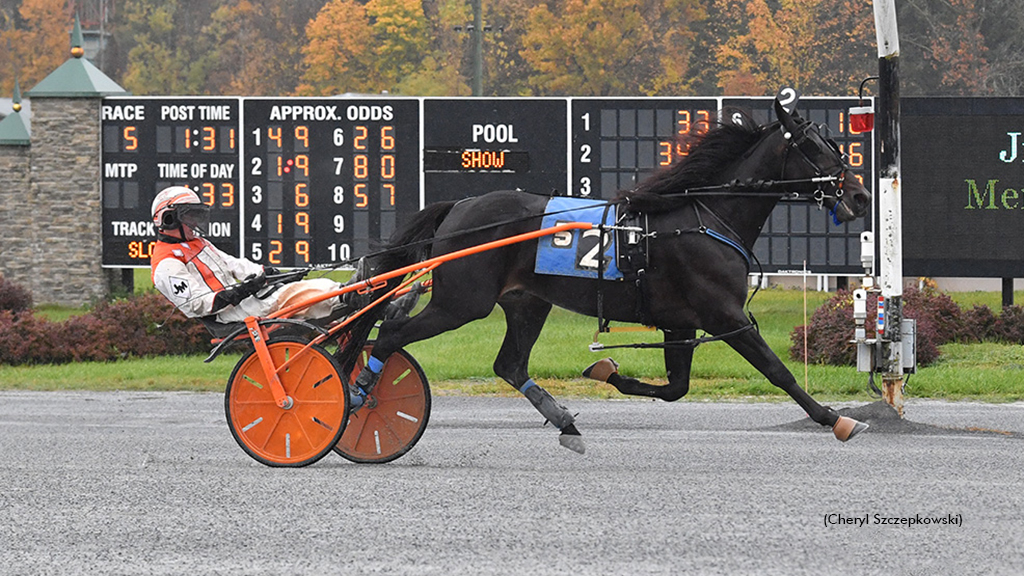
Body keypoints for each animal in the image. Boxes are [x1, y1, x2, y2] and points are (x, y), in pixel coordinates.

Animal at [346, 91, 872, 450]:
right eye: (813, 146)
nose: (861, 194)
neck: (703, 215)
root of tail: (459, 205)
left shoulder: (680, 322)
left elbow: (677, 388)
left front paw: (605, 371)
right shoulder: (726, 316)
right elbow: (777, 370)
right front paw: (835, 418)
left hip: (526, 301)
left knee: (508, 364)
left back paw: (564, 421)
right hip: (463, 302)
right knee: (391, 334)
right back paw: (357, 393)